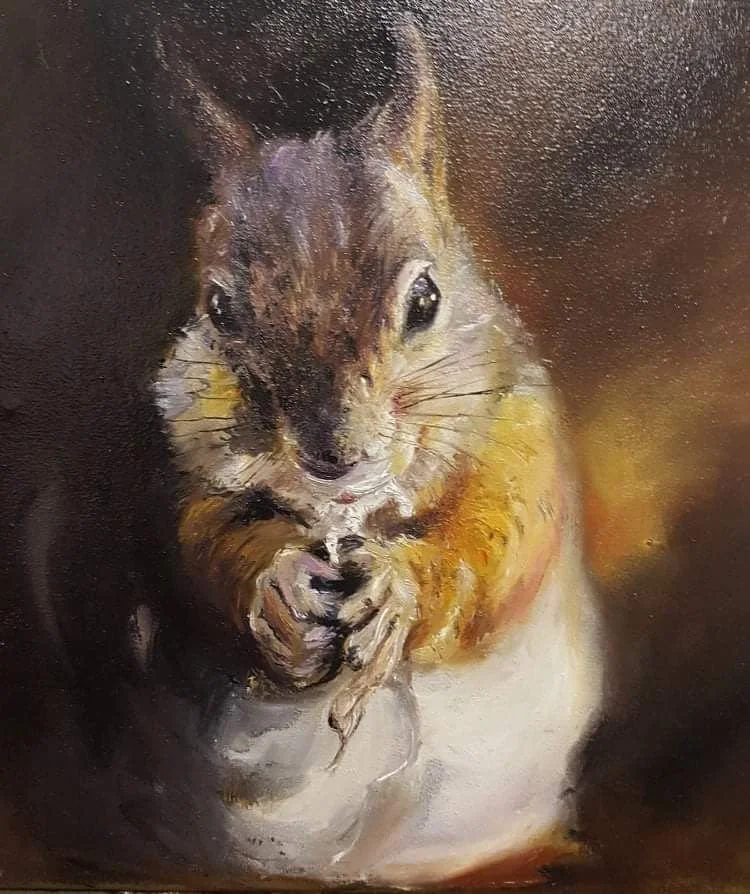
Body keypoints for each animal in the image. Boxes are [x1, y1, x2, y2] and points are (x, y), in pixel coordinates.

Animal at [153, 19, 601, 887]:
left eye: (426, 299)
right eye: (218, 308)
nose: (333, 451)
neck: (348, 514)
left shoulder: (519, 428)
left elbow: (505, 540)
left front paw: (397, 590)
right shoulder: (196, 469)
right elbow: (203, 544)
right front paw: (278, 590)